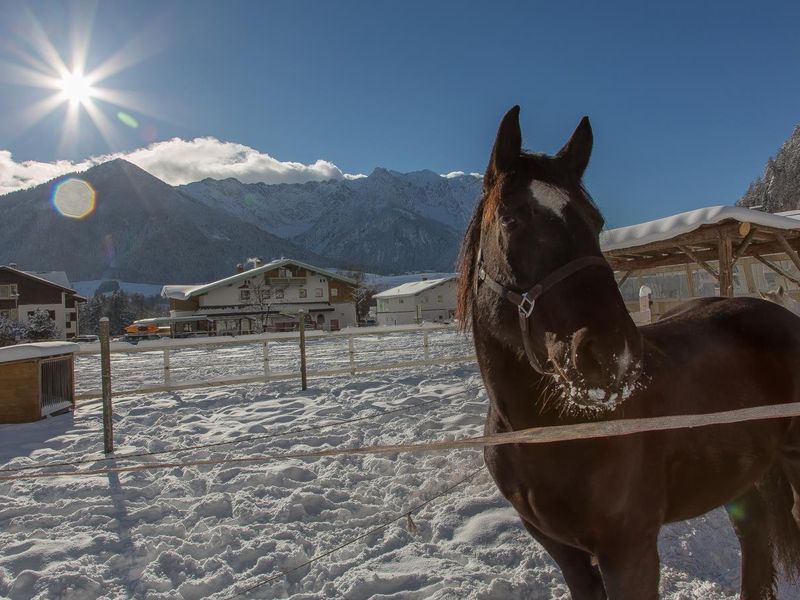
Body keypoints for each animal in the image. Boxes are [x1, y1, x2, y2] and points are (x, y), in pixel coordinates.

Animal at [456, 105, 800, 596]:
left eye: (596, 222)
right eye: (511, 220)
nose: (610, 354)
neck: (546, 431)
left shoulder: (630, 553)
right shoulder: (565, 554)